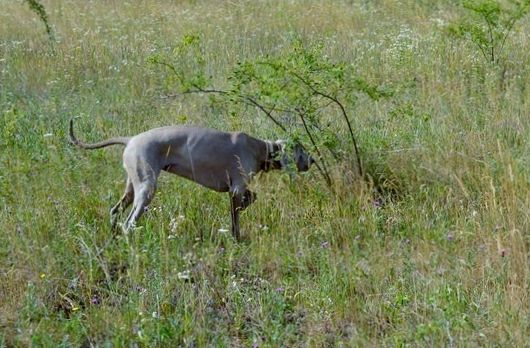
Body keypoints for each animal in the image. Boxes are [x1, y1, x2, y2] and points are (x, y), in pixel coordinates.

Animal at [68, 119, 312, 239]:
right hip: (147, 187)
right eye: (301, 148)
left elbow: (251, 197)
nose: (313, 160)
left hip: (132, 185)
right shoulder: (236, 187)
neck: (260, 148)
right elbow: (236, 217)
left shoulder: (237, 189)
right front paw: (237, 238)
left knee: (114, 211)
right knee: (129, 223)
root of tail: (130, 140)